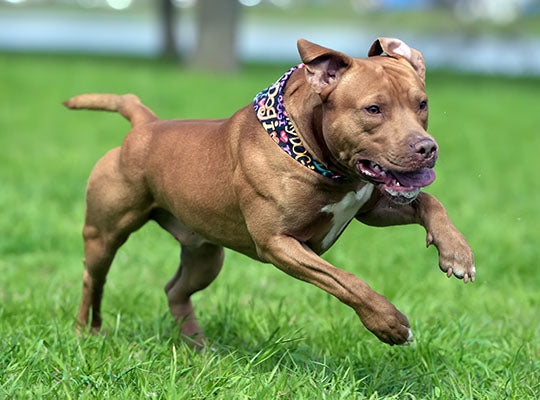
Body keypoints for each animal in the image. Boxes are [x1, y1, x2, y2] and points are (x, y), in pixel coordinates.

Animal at [65, 39, 474, 348]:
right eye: (373, 109)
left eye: (422, 103)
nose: (427, 147)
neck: (314, 153)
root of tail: (145, 124)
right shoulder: (279, 243)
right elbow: (347, 281)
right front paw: (390, 324)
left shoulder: (371, 208)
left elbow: (428, 201)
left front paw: (456, 252)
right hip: (104, 235)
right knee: (92, 279)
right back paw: (87, 333)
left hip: (205, 254)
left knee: (176, 291)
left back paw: (198, 347)